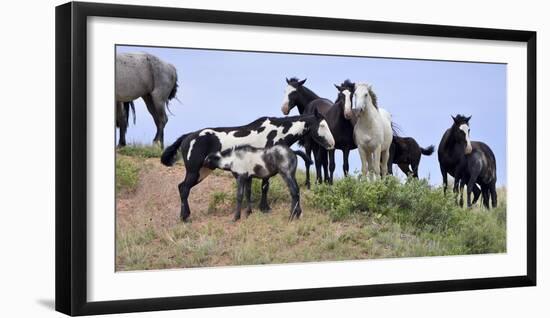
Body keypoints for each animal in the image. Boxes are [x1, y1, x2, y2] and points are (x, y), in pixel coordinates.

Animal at [161, 111, 336, 221]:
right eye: (322, 125)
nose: (332, 144)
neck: (277, 131)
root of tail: (187, 137)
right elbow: (265, 186)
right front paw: (264, 208)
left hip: (203, 171)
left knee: (182, 187)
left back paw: (185, 215)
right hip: (194, 170)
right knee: (184, 188)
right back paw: (184, 217)